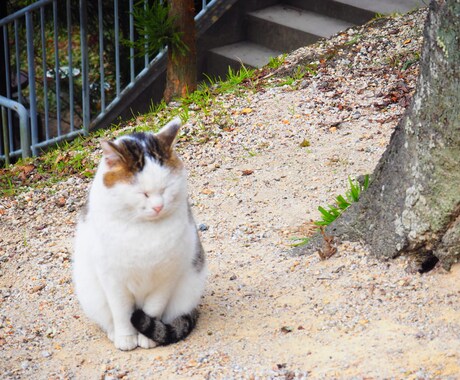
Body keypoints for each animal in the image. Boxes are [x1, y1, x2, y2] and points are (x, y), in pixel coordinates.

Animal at [72, 118, 207, 350]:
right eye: (142, 193)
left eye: (165, 189)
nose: (158, 206)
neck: (143, 229)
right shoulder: (113, 280)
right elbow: (122, 313)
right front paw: (126, 337)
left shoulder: (166, 278)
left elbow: (153, 309)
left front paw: (147, 337)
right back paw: (113, 333)